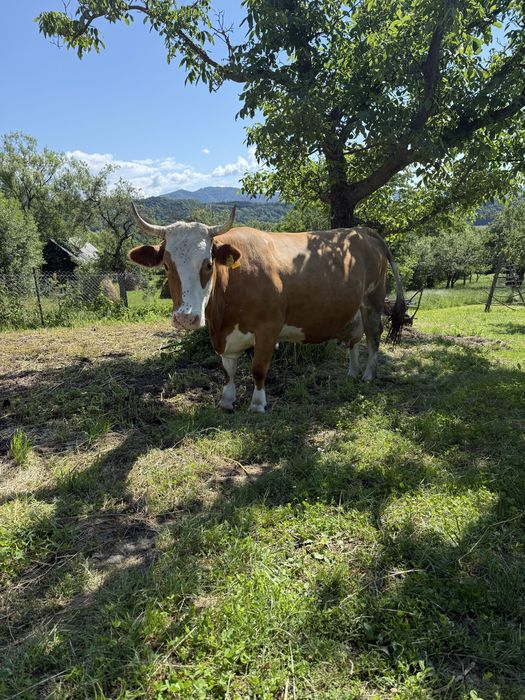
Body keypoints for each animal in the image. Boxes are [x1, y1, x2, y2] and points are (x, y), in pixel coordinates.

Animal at [128, 204, 406, 413]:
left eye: (208, 264)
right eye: (166, 265)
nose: (186, 318)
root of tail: (360, 231)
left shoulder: (268, 329)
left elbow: (258, 368)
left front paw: (257, 404)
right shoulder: (225, 335)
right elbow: (228, 370)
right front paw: (226, 400)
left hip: (373, 301)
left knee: (373, 337)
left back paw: (368, 374)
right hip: (354, 308)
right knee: (354, 340)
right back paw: (352, 372)